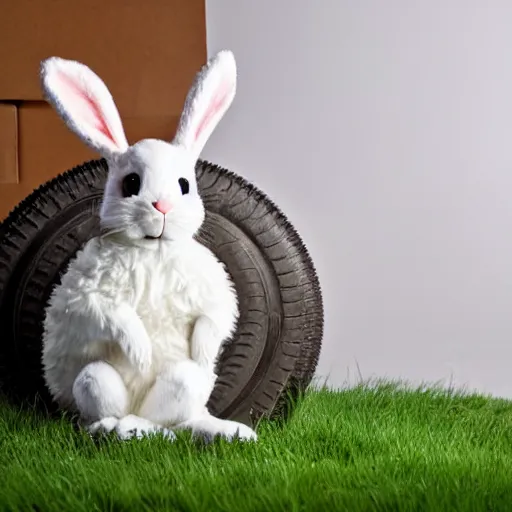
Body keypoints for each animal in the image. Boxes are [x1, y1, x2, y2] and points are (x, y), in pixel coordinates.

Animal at [39, 50, 256, 442]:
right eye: (131, 183)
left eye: (184, 184)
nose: (162, 206)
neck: (153, 250)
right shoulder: (86, 294)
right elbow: (111, 314)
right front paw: (140, 353)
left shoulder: (214, 289)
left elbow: (216, 315)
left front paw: (203, 351)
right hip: (95, 380)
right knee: (104, 404)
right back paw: (122, 428)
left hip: (186, 385)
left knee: (175, 412)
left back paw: (218, 430)